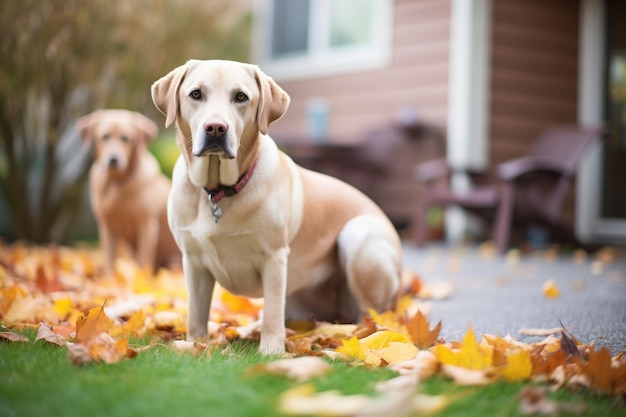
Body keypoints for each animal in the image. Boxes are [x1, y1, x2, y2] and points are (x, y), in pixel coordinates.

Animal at [77, 109, 179, 274]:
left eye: (126, 138)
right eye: (104, 137)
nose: (113, 159)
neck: (118, 183)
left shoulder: (147, 225)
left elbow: (144, 260)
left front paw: (143, 277)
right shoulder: (107, 226)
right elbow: (109, 259)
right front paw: (109, 277)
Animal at [150, 59, 400, 352]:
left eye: (241, 97)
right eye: (196, 94)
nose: (215, 128)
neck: (217, 192)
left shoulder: (274, 256)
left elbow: (271, 309)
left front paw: (271, 351)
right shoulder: (193, 260)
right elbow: (196, 313)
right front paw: (194, 344)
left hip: (358, 235)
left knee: (373, 315)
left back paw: (367, 334)